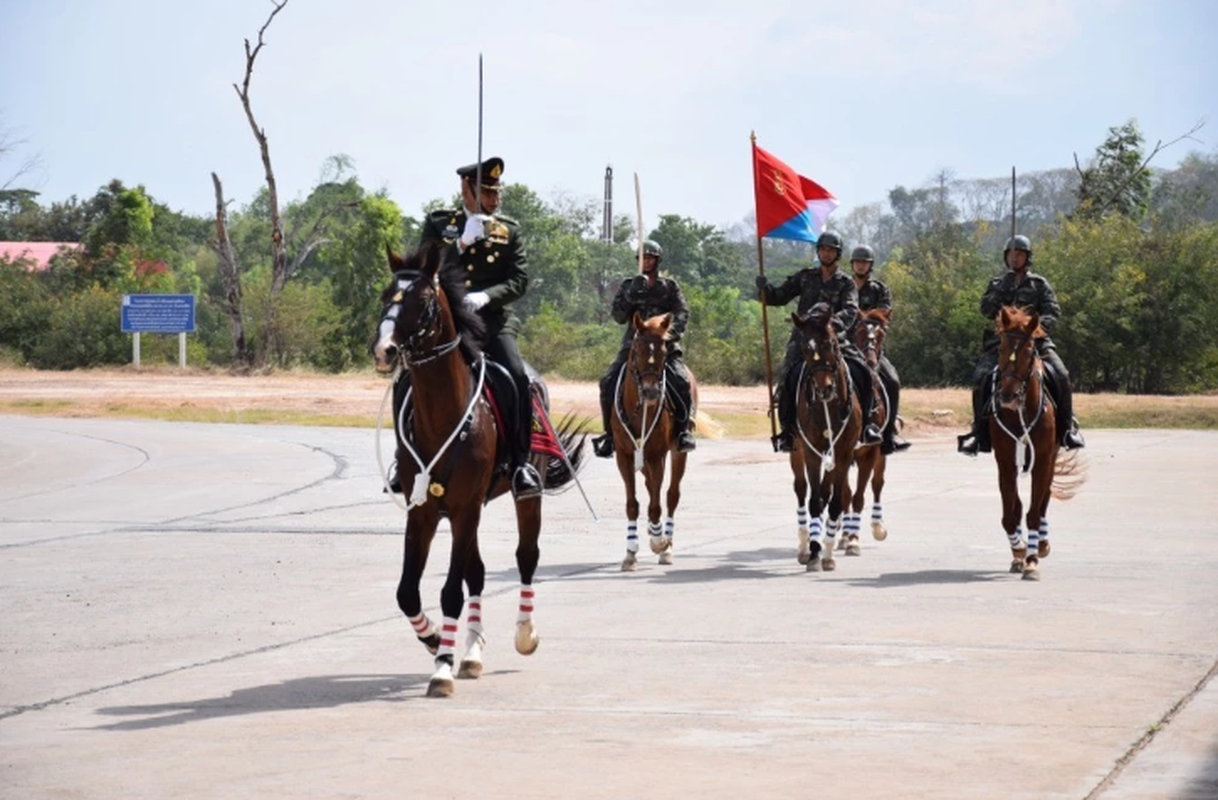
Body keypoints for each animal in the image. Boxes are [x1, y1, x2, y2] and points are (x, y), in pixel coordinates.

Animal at [367, 242, 587, 691]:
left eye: (423, 301)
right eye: (384, 296)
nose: (384, 350)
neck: (443, 416)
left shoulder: (465, 506)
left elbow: (451, 591)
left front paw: (441, 669)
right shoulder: (425, 510)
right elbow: (407, 592)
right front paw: (437, 641)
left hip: (522, 496)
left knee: (526, 557)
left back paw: (523, 634)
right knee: (479, 572)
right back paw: (469, 652)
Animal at [609, 310, 696, 567]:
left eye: (664, 352)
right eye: (637, 350)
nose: (651, 392)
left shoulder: (658, 455)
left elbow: (657, 504)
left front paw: (659, 542)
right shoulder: (624, 455)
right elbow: (632, 504)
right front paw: (630, 552)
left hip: (676, 452)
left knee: (671, 495)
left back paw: (666, 545)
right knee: (650, 487)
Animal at [784, 303, 862, 569]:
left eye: (831, 343)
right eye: (805, 349)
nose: (824, 389)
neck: (828, 406)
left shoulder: (844, 452)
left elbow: (835, 501)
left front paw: (827, 554)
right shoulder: (811, 451)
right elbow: (814, 500)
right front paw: (815, 552)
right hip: (797, 451)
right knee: (801, 490)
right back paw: (803, 546)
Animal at [989, 306, 1086, 579]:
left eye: (1030, 350)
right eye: (1000, 347)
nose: (1007, 396)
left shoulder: (1042, 459)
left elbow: (1034, 511)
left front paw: (1032, 560)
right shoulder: (1004, 462)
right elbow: (1010, 514)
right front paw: (1019, 551)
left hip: (1051, 459)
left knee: (1044, 501)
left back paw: (1041, 545)